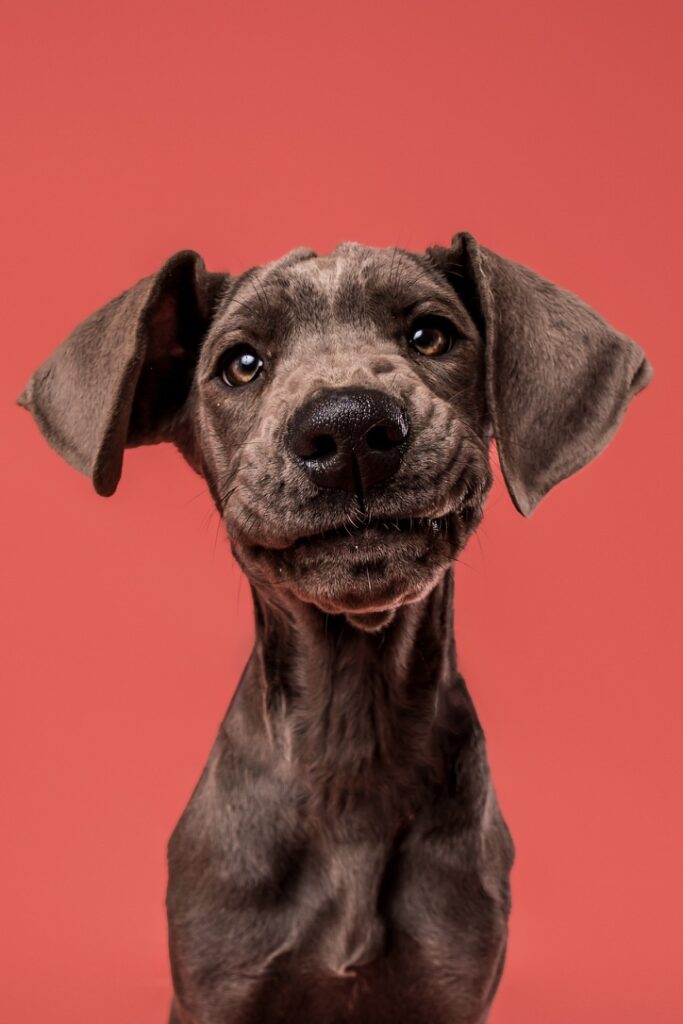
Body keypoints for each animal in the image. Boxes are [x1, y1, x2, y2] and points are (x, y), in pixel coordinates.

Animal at [17, 234, 651, 1024]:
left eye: (430, 334)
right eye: (241, 363)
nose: (348, 425)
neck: (354, 735)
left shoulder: (450, 984)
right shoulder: (219, 986)